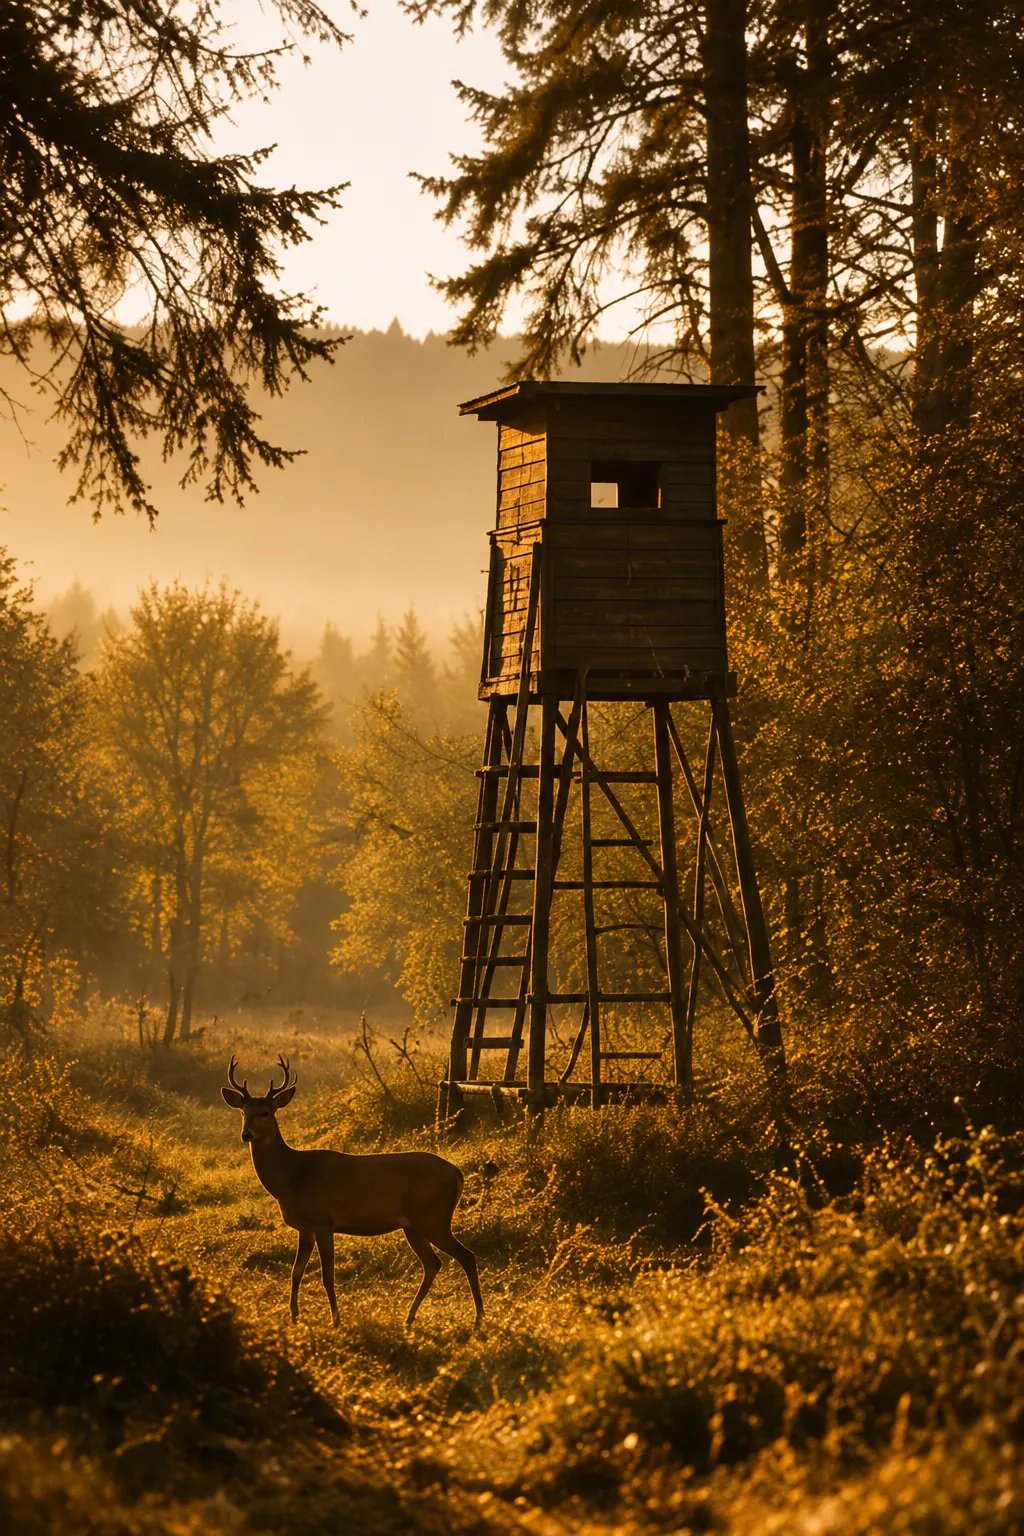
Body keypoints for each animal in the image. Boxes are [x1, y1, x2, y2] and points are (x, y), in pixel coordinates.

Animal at [221, 1055, 483, 1331]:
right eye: (243, 1112)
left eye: (266, 1113)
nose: (246, 1134)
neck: (292, 1177)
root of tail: (457, 1173)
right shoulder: (305, 1227)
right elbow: (296, 1272)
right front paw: (294, 1316)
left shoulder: (323, 1221)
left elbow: (327, 1275)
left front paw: (335, 1320)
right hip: (413, 1225)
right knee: (433, 1263)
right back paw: (409, 1319)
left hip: (433, 1217)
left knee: (466, 1256)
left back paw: (477, 1319)